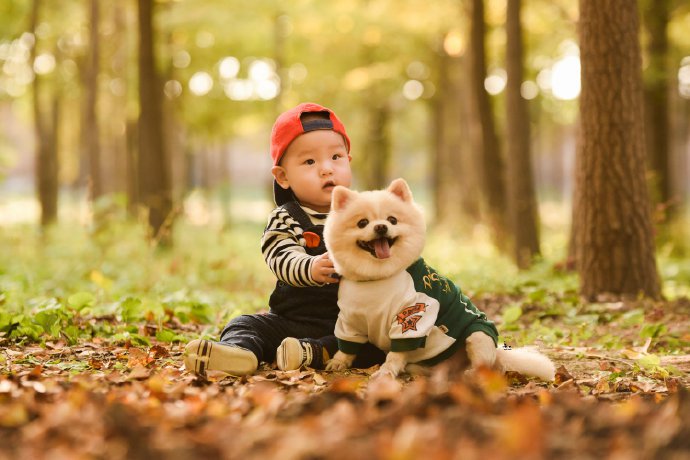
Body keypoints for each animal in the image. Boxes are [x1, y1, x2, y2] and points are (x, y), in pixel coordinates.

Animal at [322, 177, 552, 380]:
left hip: (478, 336)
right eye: (362, 223)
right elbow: (347, 347)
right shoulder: (349, 320)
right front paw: (338, 362)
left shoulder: (412, 318)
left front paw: (386, 371)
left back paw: (473, 373)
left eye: (392, 220)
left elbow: (396, 354)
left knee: (486, 365)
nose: (381, 227)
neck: (378, 278)